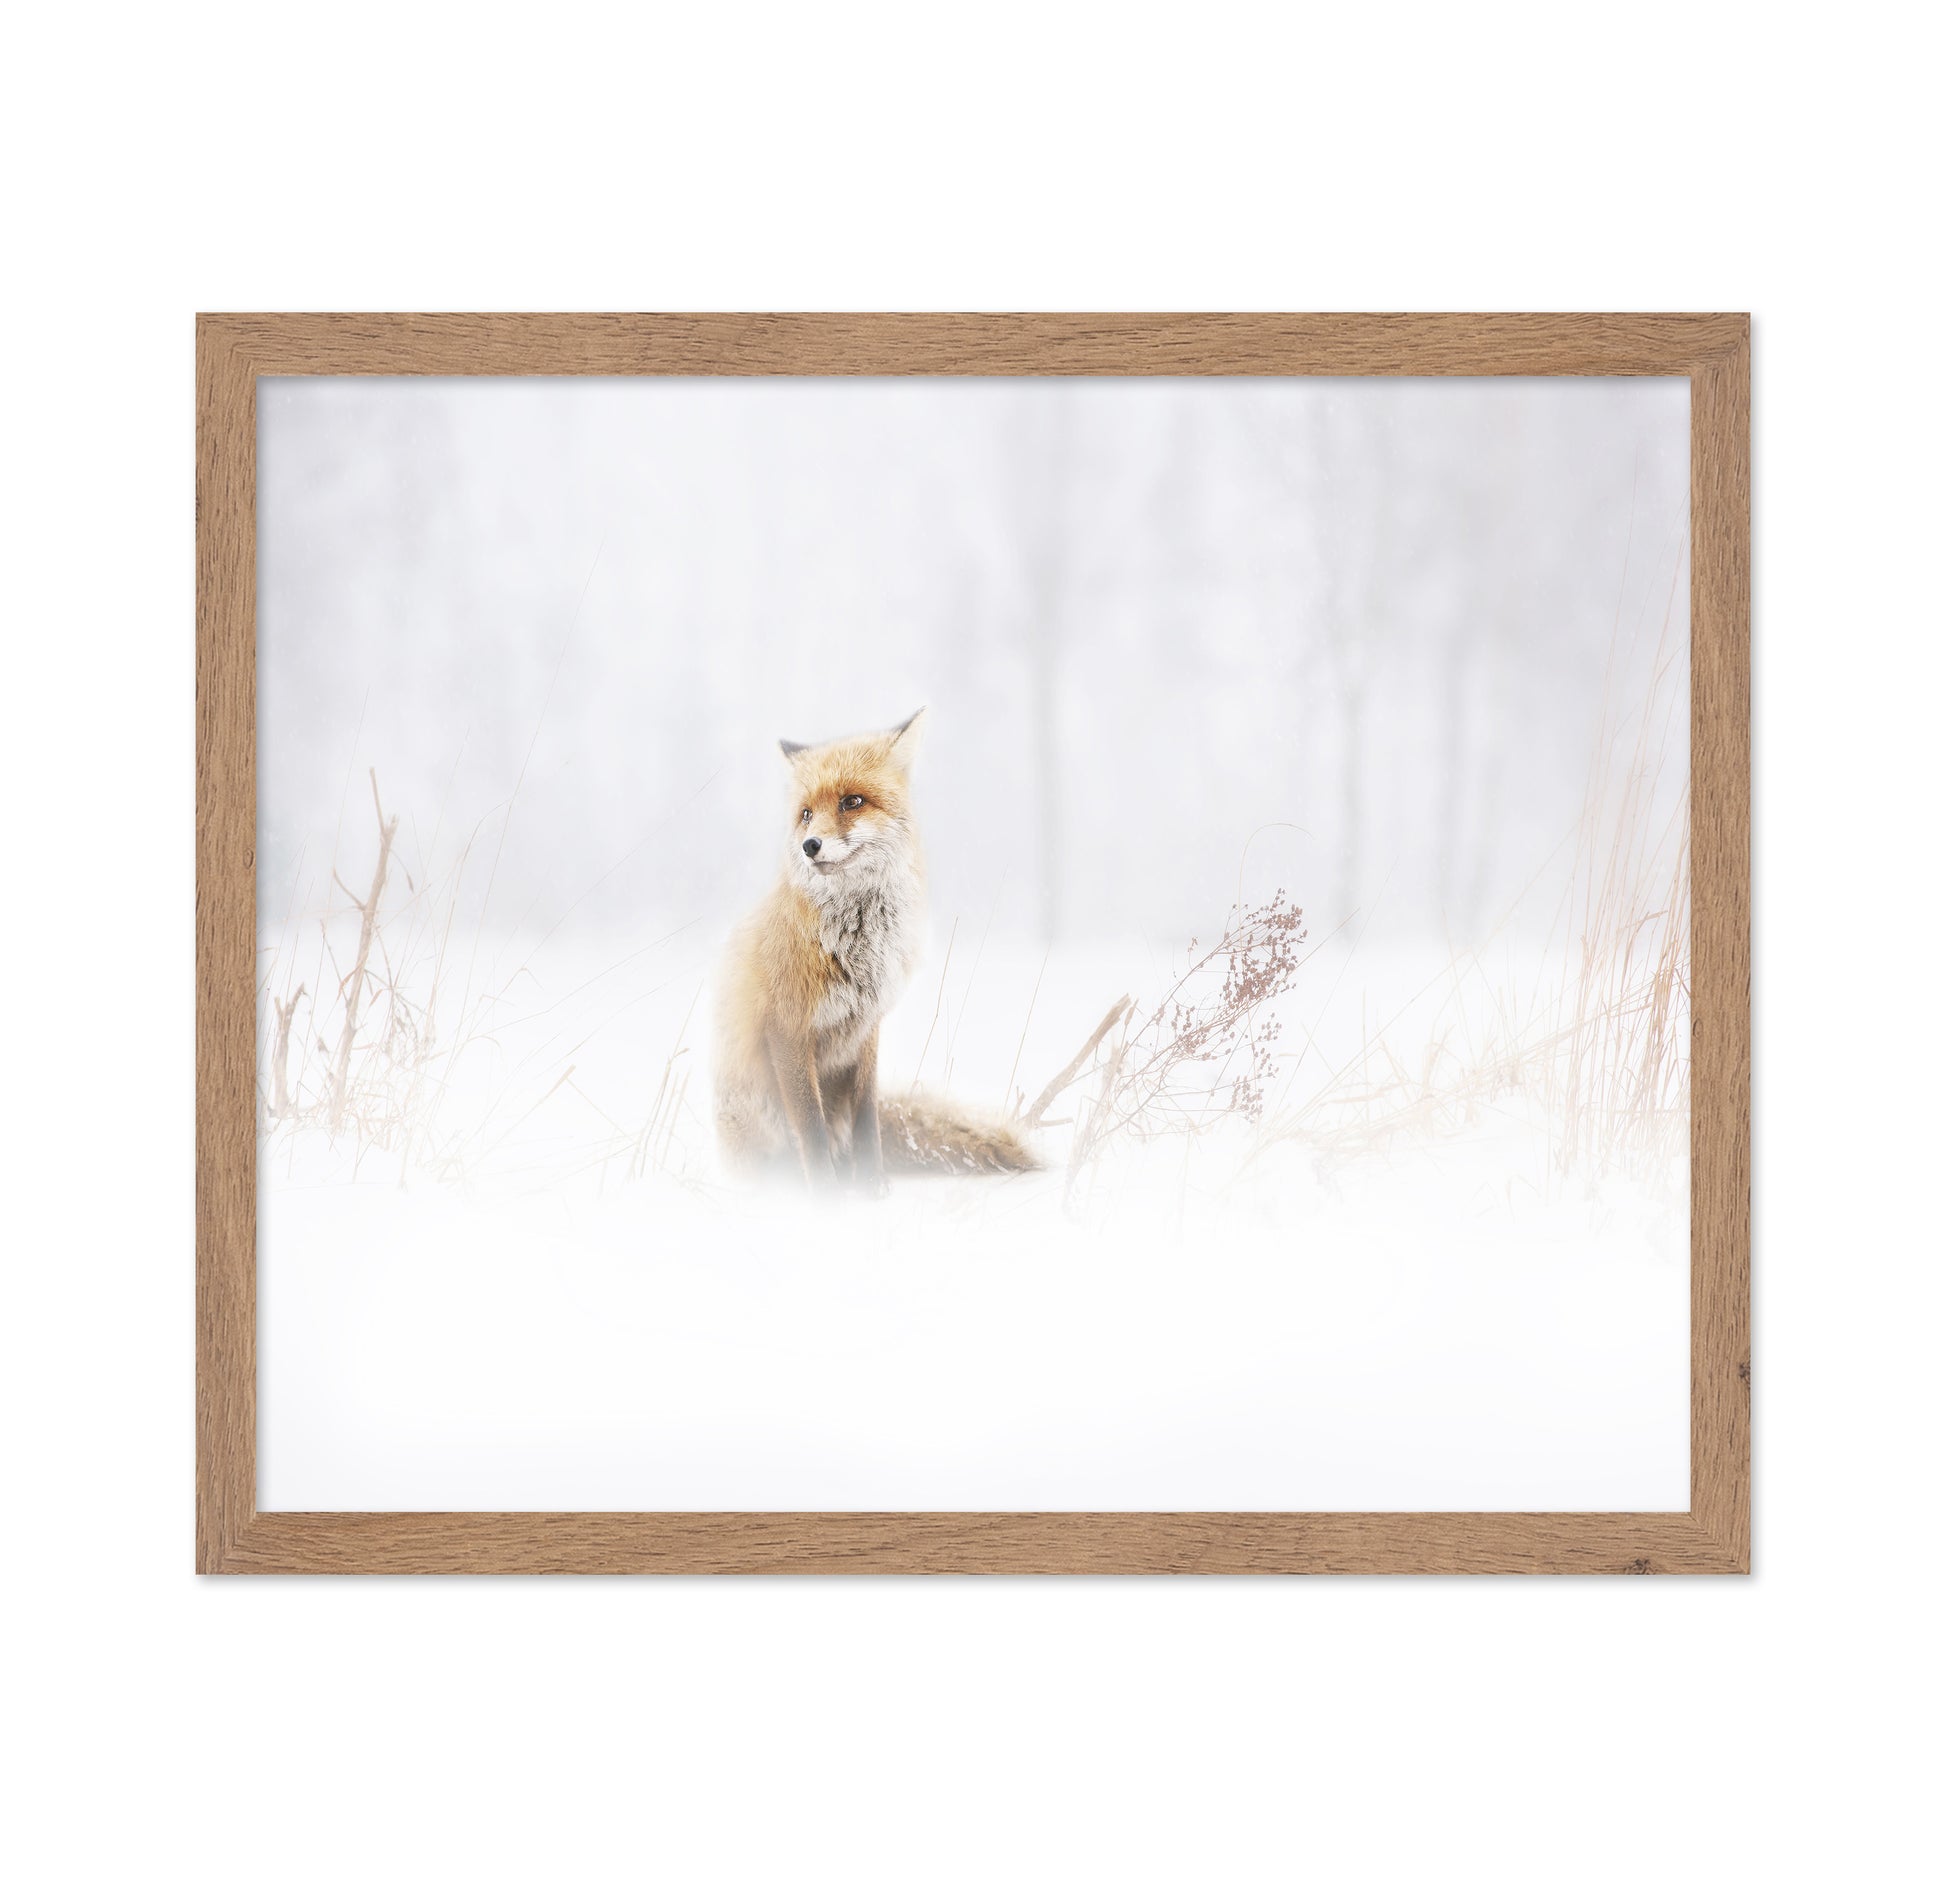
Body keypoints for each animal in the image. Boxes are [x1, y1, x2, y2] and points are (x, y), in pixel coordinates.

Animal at [713, 708, 1038, 1188]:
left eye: (852, 802)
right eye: (806, 814)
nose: (810, 846)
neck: (858, 949)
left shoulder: (866, 1029)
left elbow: (867, 1117)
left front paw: (872, 1189)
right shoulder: (787, 1028)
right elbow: (811, 1127)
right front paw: (827, 1196)